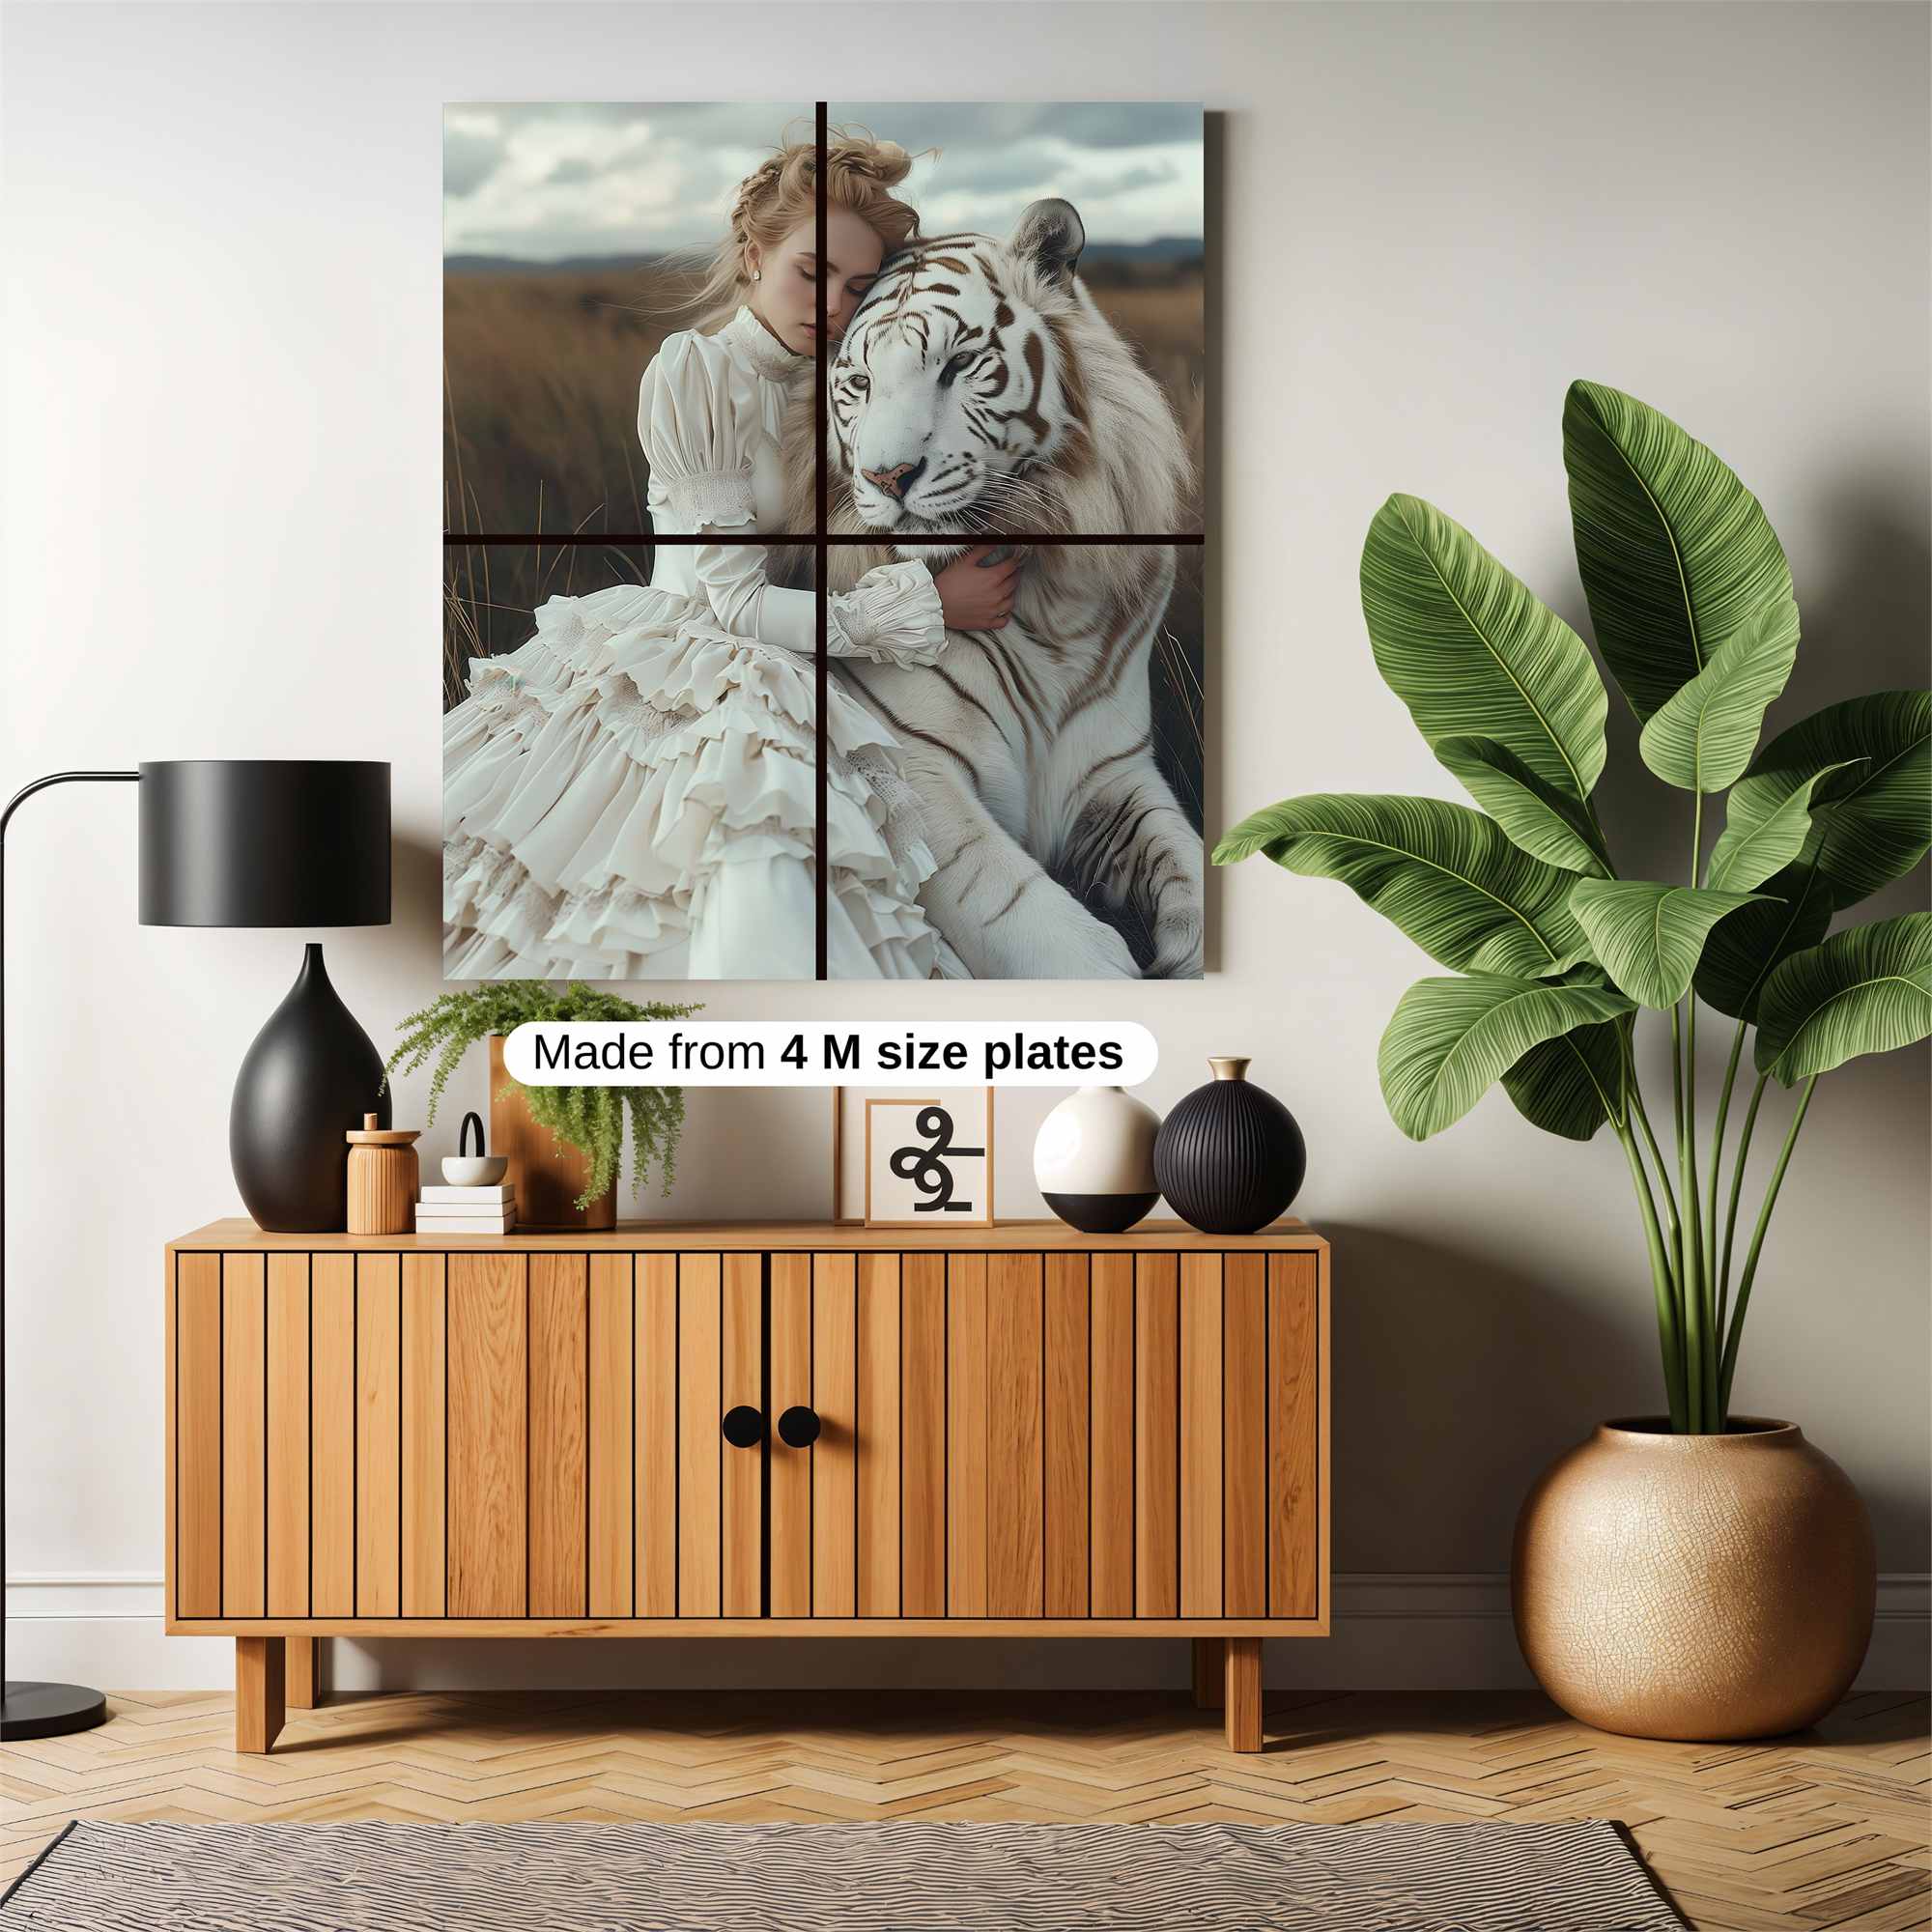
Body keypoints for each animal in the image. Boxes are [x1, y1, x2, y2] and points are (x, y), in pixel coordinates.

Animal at [778, 197, 1203, 980]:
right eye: (860, 385)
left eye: (958, 365)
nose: (887, 476)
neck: (1051, 606)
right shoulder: (910, 763)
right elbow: (1043, 928)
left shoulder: (1114, 776)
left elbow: (1193, 872)